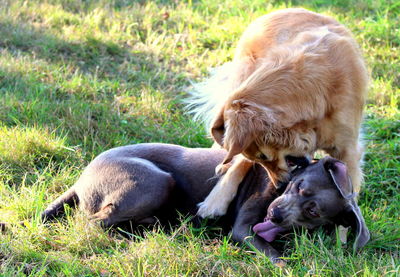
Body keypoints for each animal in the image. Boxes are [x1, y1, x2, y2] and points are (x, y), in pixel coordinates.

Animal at [42, 142, 370, 264]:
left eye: (313, 211)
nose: (275, 215)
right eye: (299, 186)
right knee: (92, 222)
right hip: (156, 181)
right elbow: (277, 257)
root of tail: (82, 178)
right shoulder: (243, 230)